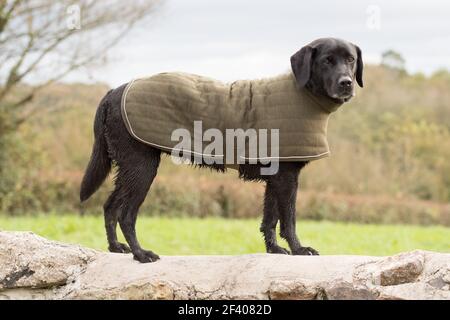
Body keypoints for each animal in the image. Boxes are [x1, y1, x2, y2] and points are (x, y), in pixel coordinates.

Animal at [80, 37, 362, 262]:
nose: (347, 83)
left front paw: (274, 250)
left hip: (129, 168)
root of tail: (115, 91)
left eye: (350, 59)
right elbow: (288, 220)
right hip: (141, 167)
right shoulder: (287, 178)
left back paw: (116, 247)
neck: (303, 94)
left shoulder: (275, 178)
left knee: (109, 206)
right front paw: (299, 250)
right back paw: (141, 254)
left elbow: (269, 219)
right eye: (326, 61)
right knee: (126, 214)